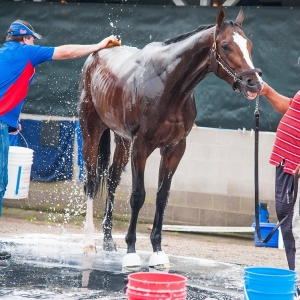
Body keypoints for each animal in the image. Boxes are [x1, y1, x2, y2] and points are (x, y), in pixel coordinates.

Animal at [79, 6, 262, 270]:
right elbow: (138, 195)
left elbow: (161, 197)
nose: (254, 83)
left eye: (249, 44)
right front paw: (131, 252)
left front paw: (157, 252)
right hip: (90, 129)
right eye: (226, 45)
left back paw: (108, 241)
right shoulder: (141, 146)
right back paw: (89, 243)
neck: (167, 85)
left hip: (122, 141)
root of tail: (96, 55)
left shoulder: (175, 148)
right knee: (92, 182)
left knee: (112, 181)